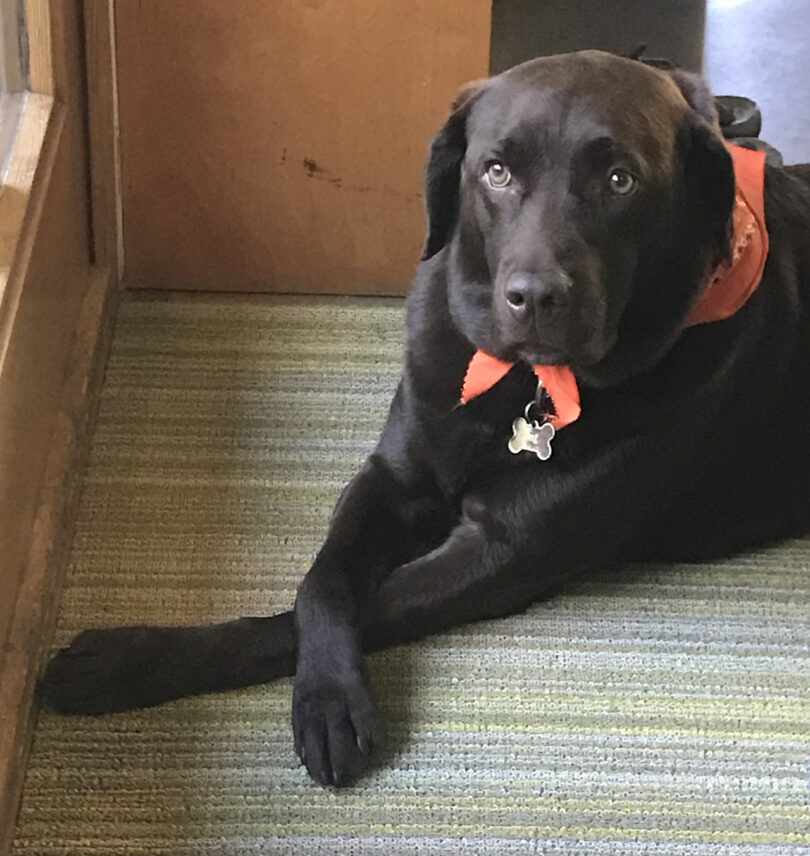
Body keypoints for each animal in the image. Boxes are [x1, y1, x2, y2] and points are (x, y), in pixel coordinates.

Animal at [41, 51, 808, 788]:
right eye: (496, 171)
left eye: (621, 180)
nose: (534, 297)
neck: (524, 382)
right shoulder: (394, 475)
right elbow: (322, 583)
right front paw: (321, 692)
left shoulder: (506, 551)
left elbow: (340, 610)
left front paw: (133, 667)